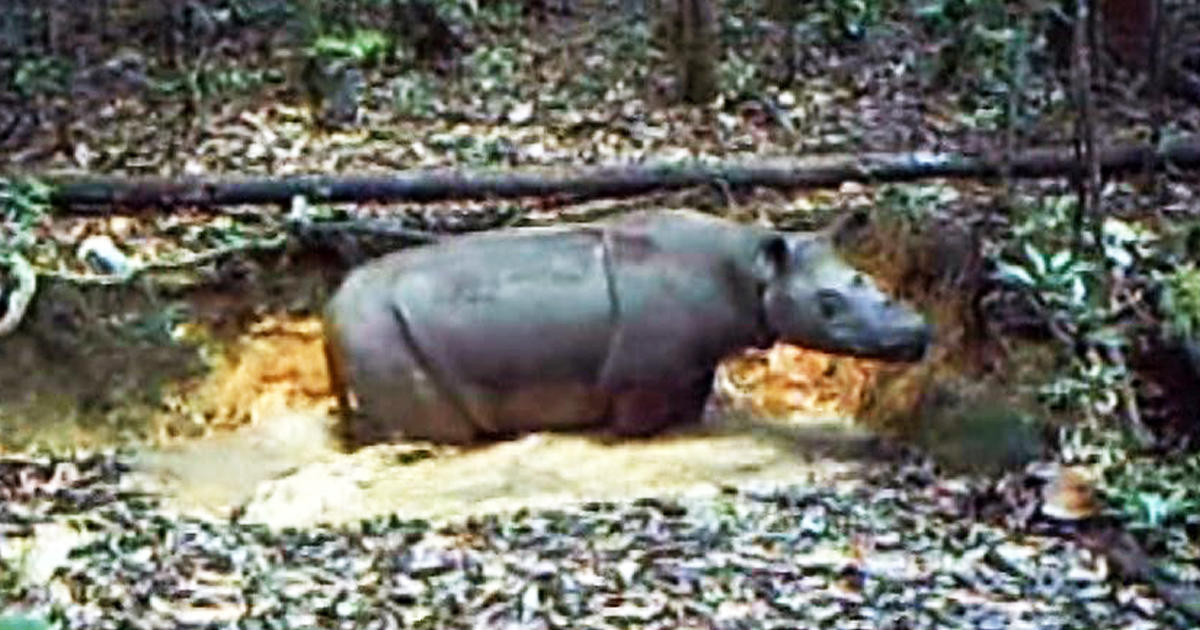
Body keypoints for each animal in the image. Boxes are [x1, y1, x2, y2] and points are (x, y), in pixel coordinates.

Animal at [324, 208, 931, 444]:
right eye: (827, 304)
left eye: (871, 280)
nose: (920, 332)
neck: (753, 271)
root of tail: (328, 310)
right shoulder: (642, 376)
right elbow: (637, 422)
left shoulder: (690, 364)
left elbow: (692, 401)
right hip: (377, 327)